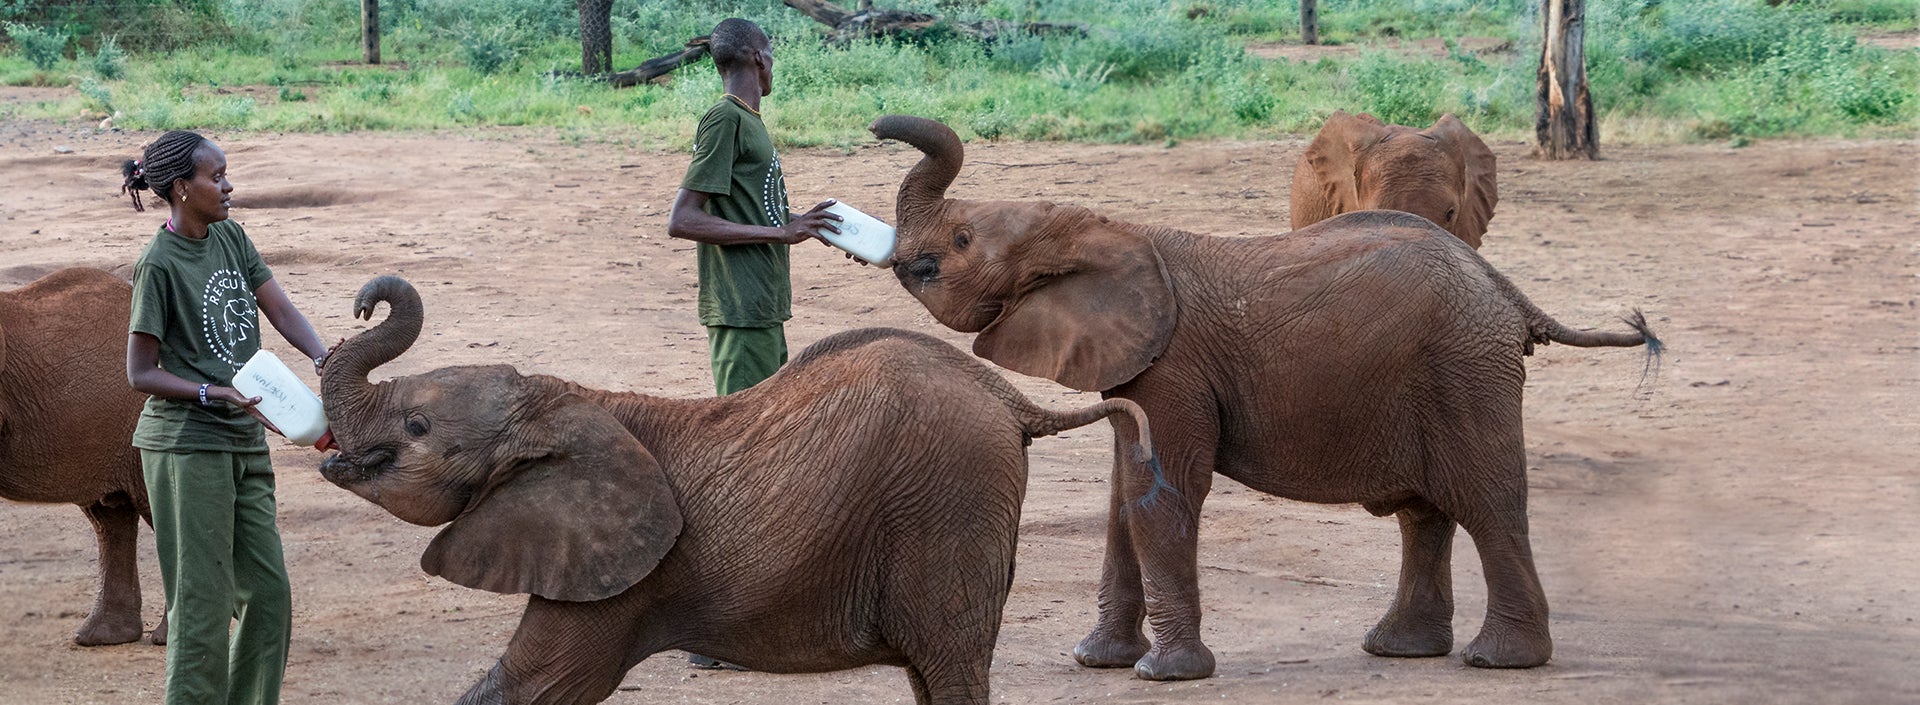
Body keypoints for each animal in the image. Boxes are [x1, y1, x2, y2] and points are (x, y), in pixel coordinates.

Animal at [316, 276, 1152, 705]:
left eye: (418, 425)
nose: (363, 299)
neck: (564, 399)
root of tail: (1010, 397)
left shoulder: (616, 573)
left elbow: (542, 679)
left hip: (949, 497)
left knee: (950, 664)